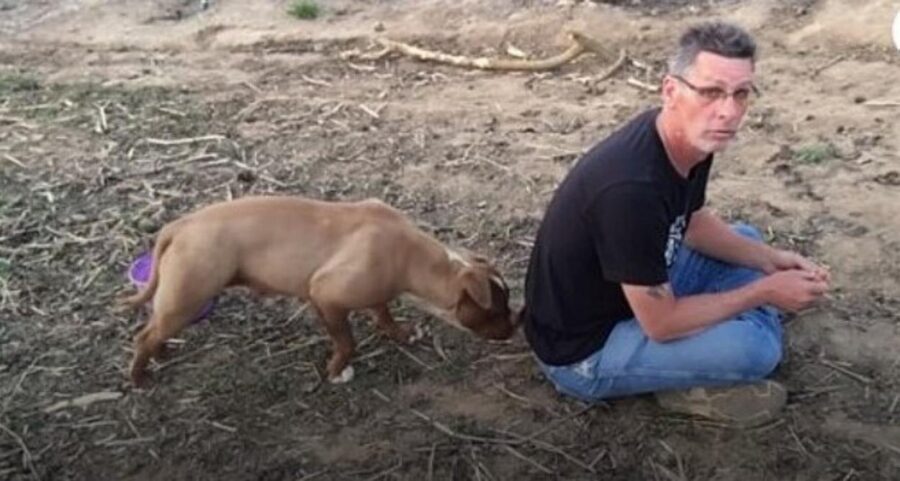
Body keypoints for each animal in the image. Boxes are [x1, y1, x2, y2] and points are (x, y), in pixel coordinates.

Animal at [125, 193, 520, 384]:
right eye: (496, 310)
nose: (516, 326)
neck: (413, 258)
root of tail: (180, 225)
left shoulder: (376, 293)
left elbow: (383, 313)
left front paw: (400, 333)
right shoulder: (326, 297)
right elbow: (346, 341)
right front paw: (336, 371)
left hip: (179, 300)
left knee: (153, 327)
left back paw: (161, 355)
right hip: (190, 296)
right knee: (144, 335)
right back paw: (140, 378)